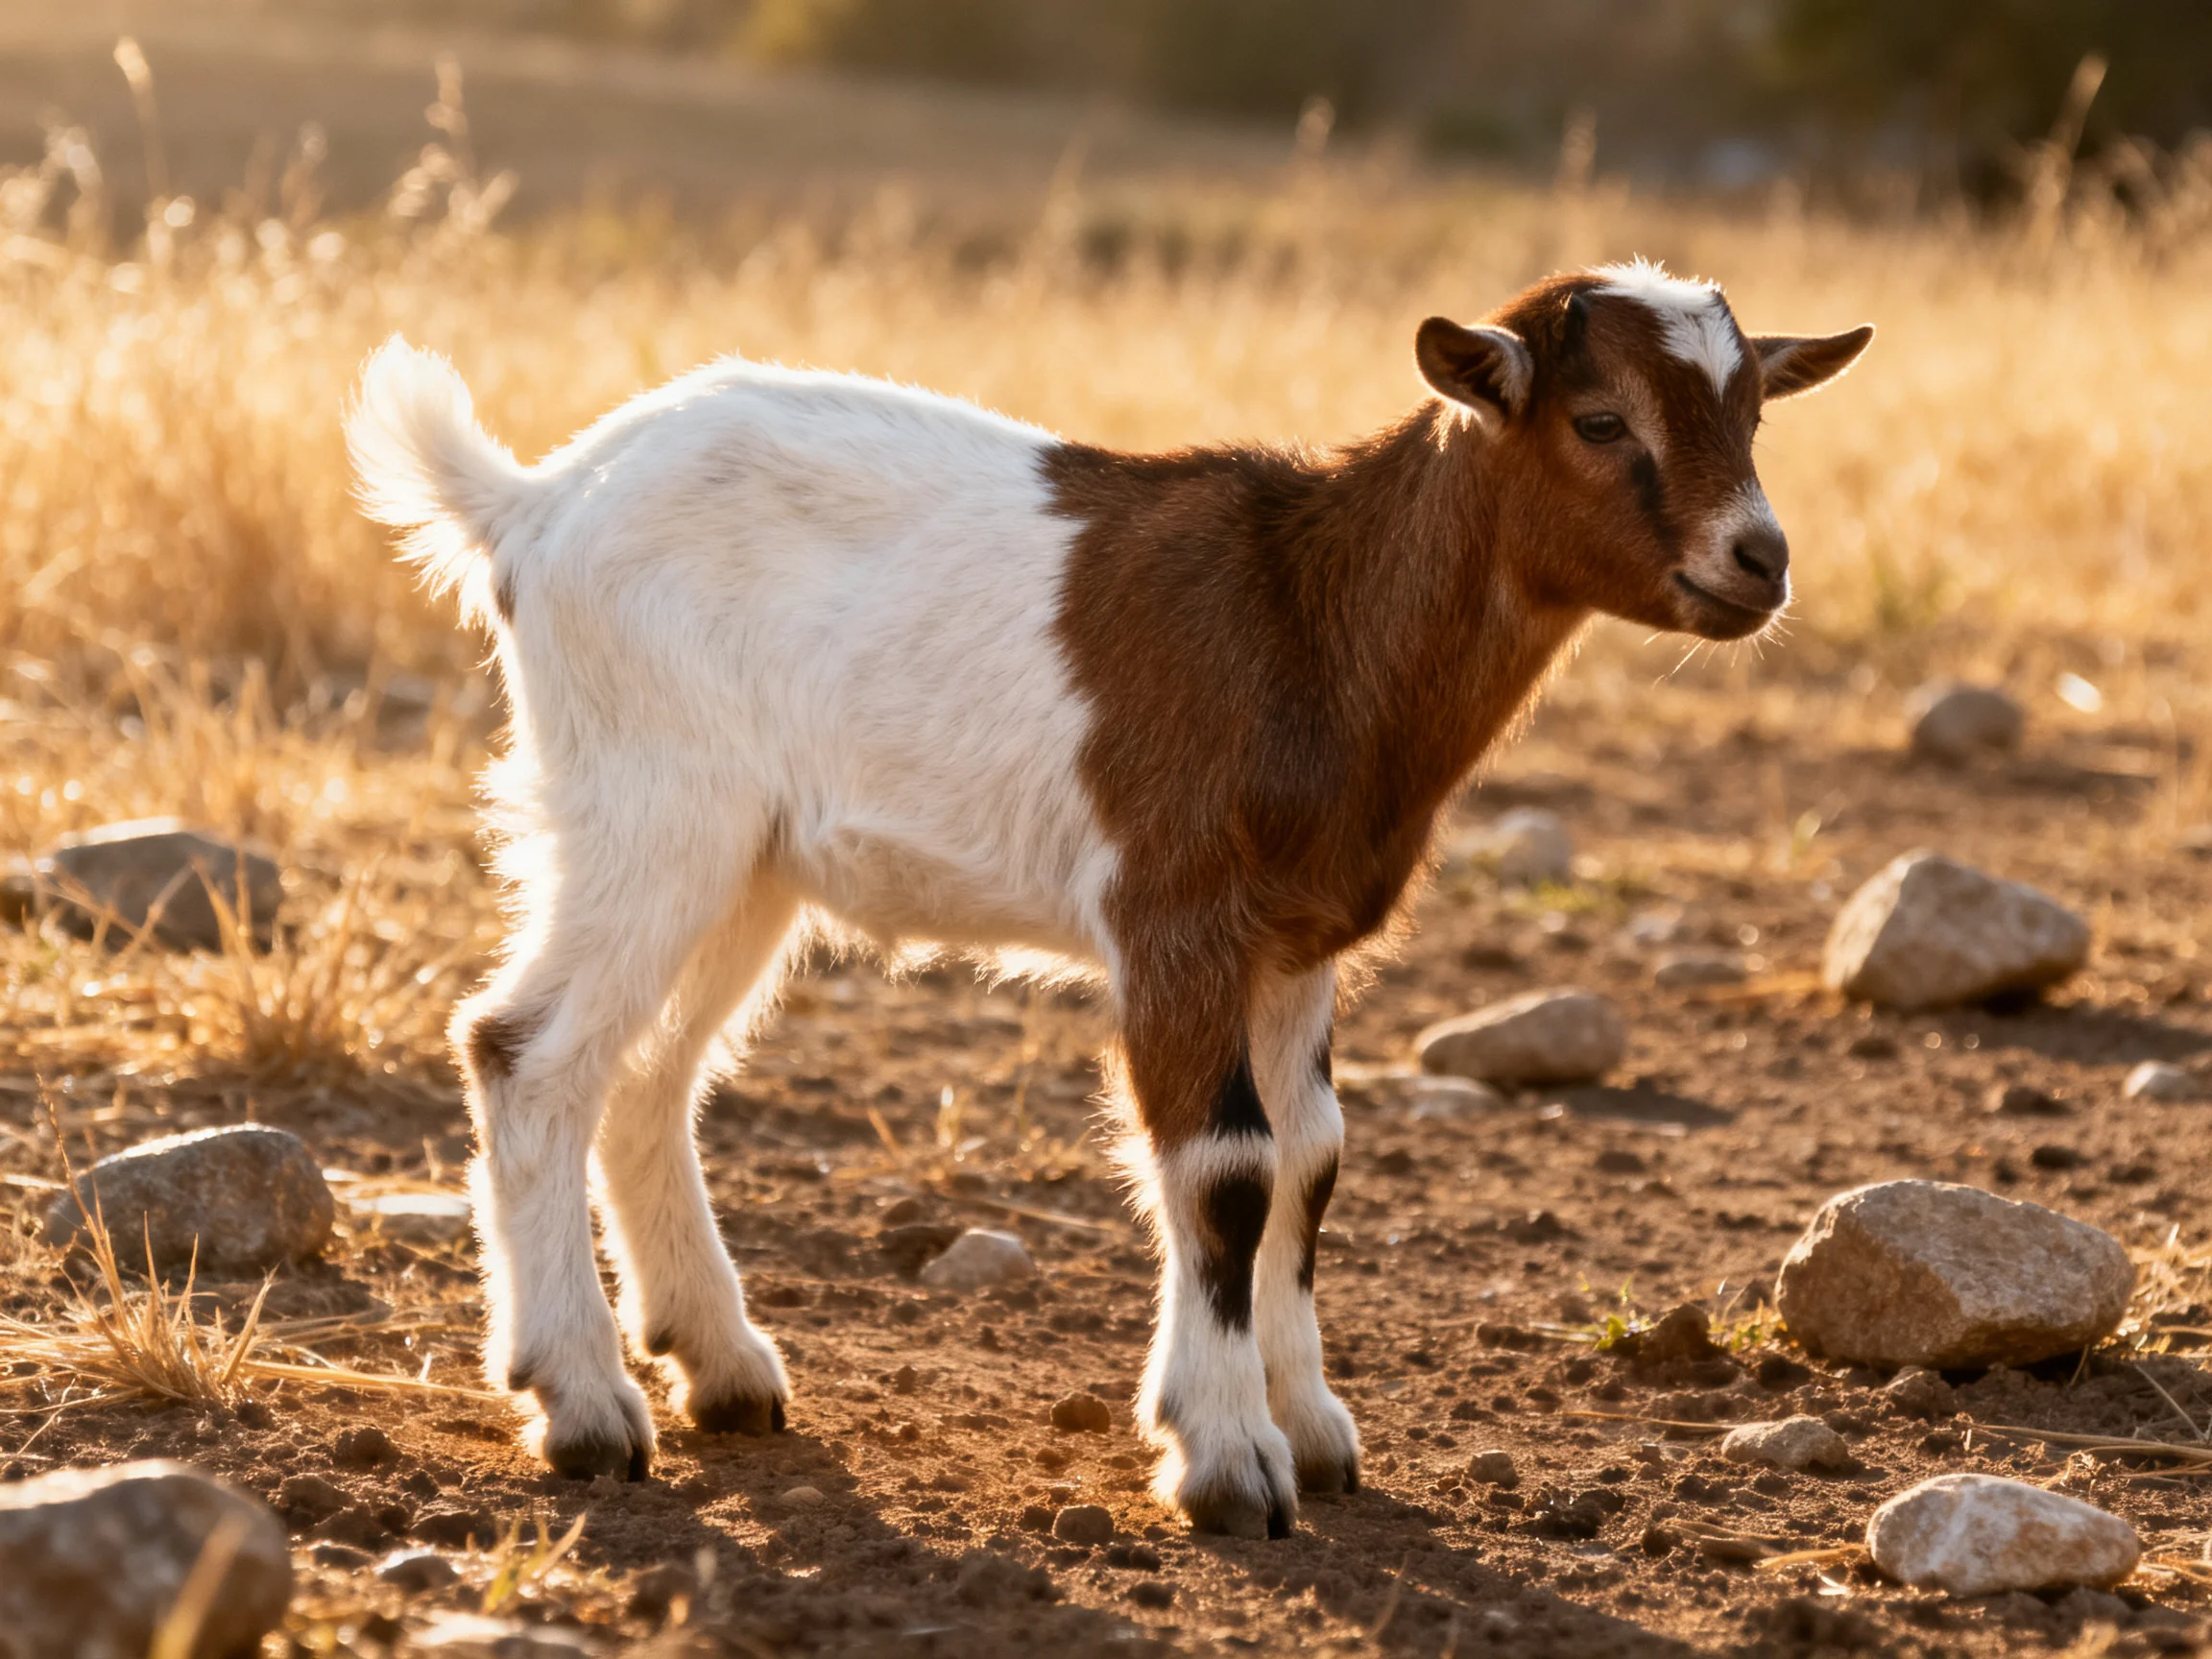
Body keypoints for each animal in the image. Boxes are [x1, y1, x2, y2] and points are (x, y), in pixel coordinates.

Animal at [348, 260, 1870, 1538]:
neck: (1309, 614)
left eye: (1753, 412)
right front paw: (1228, 1457)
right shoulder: (1175, 918)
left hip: (749, 861)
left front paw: (1314, 1427)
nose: (1759, 560)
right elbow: (1228, 1166)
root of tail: (533, 506)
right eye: (1602, 419)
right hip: (647, 807)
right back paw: (584, 1406)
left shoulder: (1295, 946)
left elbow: (1314, 1155)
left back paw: (721, 1367)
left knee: (650, 1073)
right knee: (528, 1051)